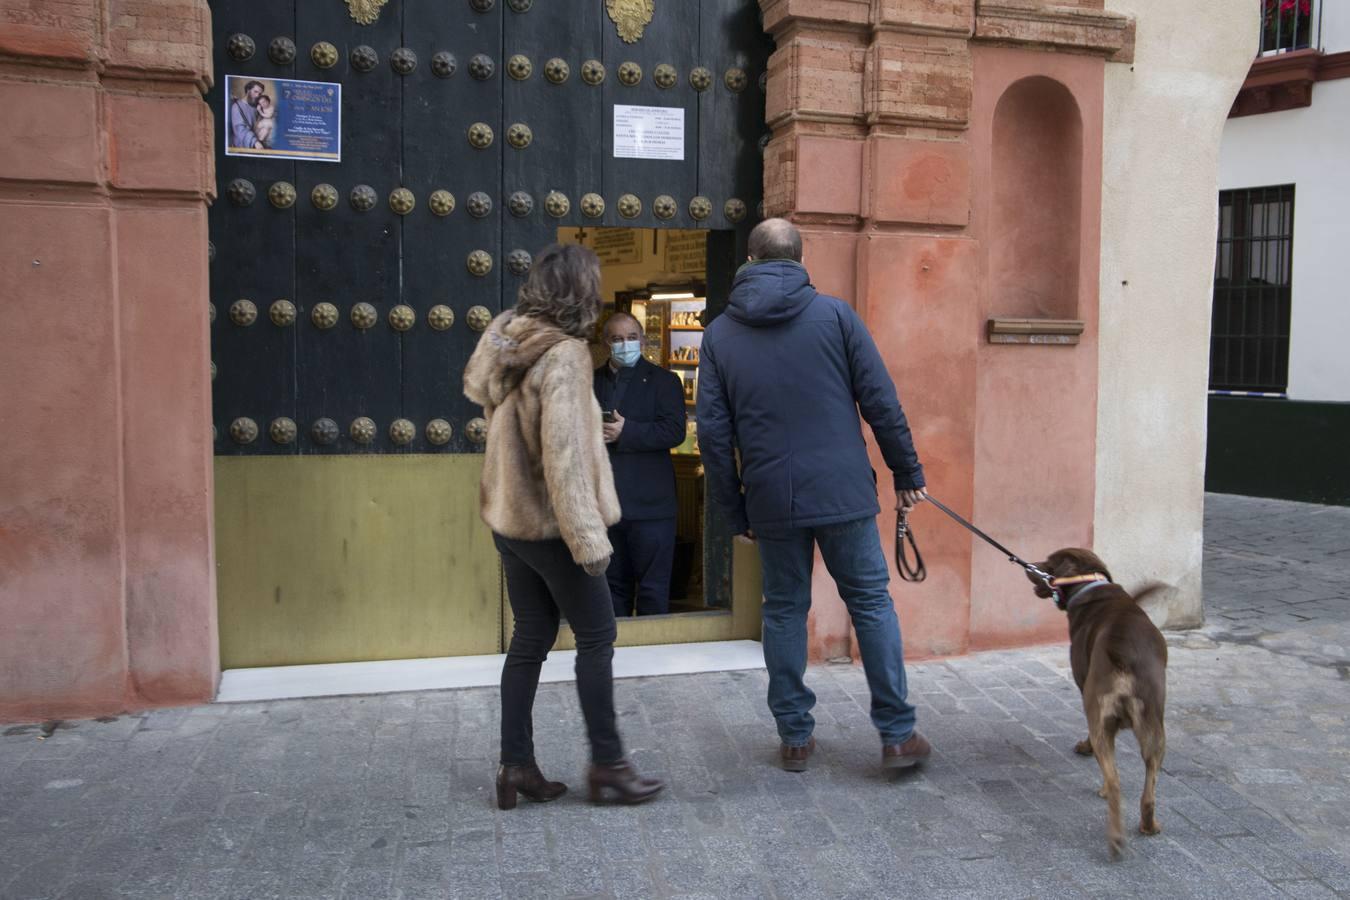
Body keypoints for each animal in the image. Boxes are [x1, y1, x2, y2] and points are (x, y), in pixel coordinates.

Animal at [1026, 550, 1166, 858]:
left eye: (1049, 561)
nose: (1030, 567)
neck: (1089, 584)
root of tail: (1124, 655)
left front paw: (1083, 748)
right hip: (1155, 726)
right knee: (1149, 784)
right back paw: (1148, 825)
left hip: (1099, 715)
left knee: (1114, 781)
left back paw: (1114, 838)